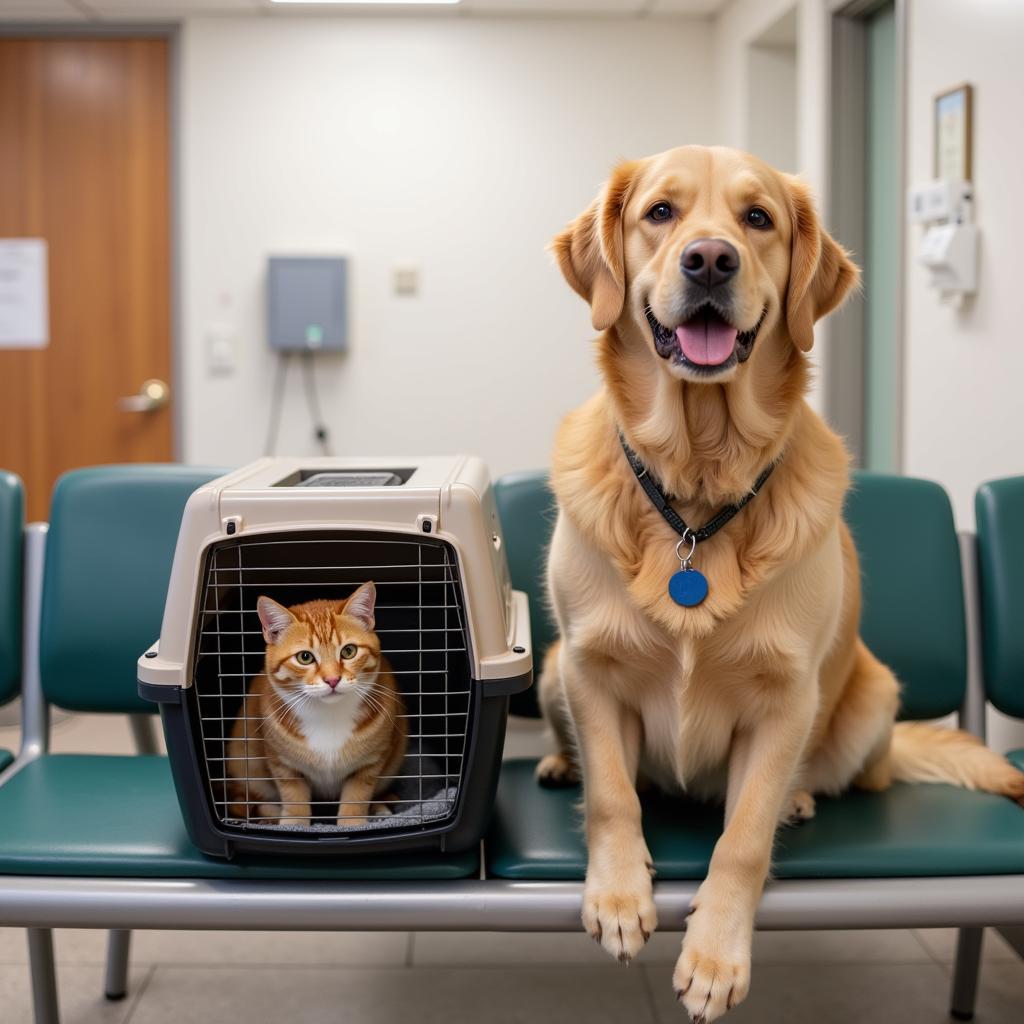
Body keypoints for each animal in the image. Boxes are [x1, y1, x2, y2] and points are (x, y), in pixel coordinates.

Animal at [226, 581, 405, 827]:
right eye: (305, 657)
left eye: (348, 651)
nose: (332, 680)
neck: (328, 716)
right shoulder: (284, 765)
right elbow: (294, 800)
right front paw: (294, 825)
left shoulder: (370, 764)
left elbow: (356, 798)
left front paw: (352, 823)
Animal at [540, 146, 1019, 1024]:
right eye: (660, 213)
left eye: (757, 219)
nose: (710, 259)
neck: (697, 490)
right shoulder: (591, 668)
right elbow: (615, 795)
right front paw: (619, 898)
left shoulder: (785, 697)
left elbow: (745, 836)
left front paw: (716, 956)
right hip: (554, 666)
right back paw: (560, 764)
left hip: (871, 696)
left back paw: (803, 797)